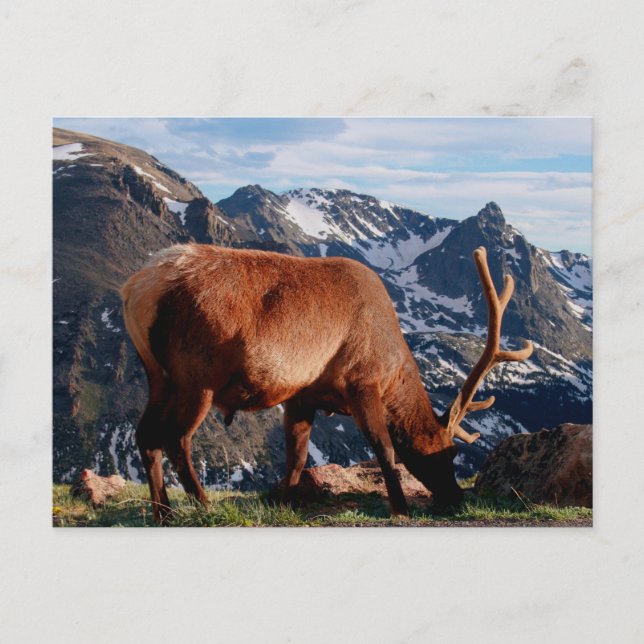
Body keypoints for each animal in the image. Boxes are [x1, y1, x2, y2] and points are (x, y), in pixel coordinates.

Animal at [121, 243, 533, 524]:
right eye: (449, 453)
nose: (456, 499)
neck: (393, 368)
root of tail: (136, 290)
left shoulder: (301, 394)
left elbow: (297, 456)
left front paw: (284, 503)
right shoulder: (361, 381)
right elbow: (384, 448)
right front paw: (400, 508)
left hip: (158, 376)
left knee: (146, 436)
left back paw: (163, 513)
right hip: (196, 375)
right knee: (176, 438)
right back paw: (203, 505)